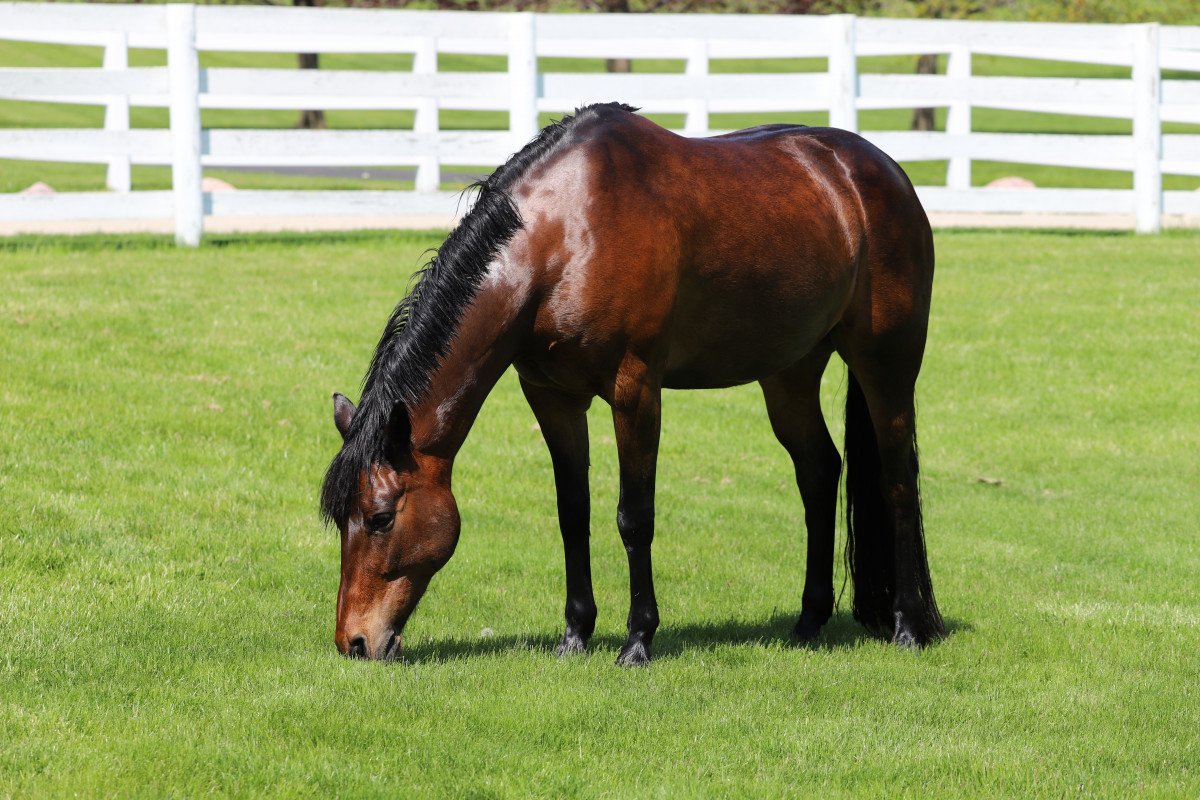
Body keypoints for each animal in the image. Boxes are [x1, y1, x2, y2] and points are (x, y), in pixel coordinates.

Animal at [322, 102, 944, 665]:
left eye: (380, 518)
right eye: (340, 519)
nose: (355, 642)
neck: (564, 238)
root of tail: (880, 173)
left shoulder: (636, 390)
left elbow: (633, 516)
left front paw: (638, 640)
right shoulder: (552, 397)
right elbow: (572, 512)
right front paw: (575, 635)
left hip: (886, 364)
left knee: (897, 480)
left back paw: (908, 625)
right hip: (789, 374)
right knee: (819, 473)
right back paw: (809, 620)